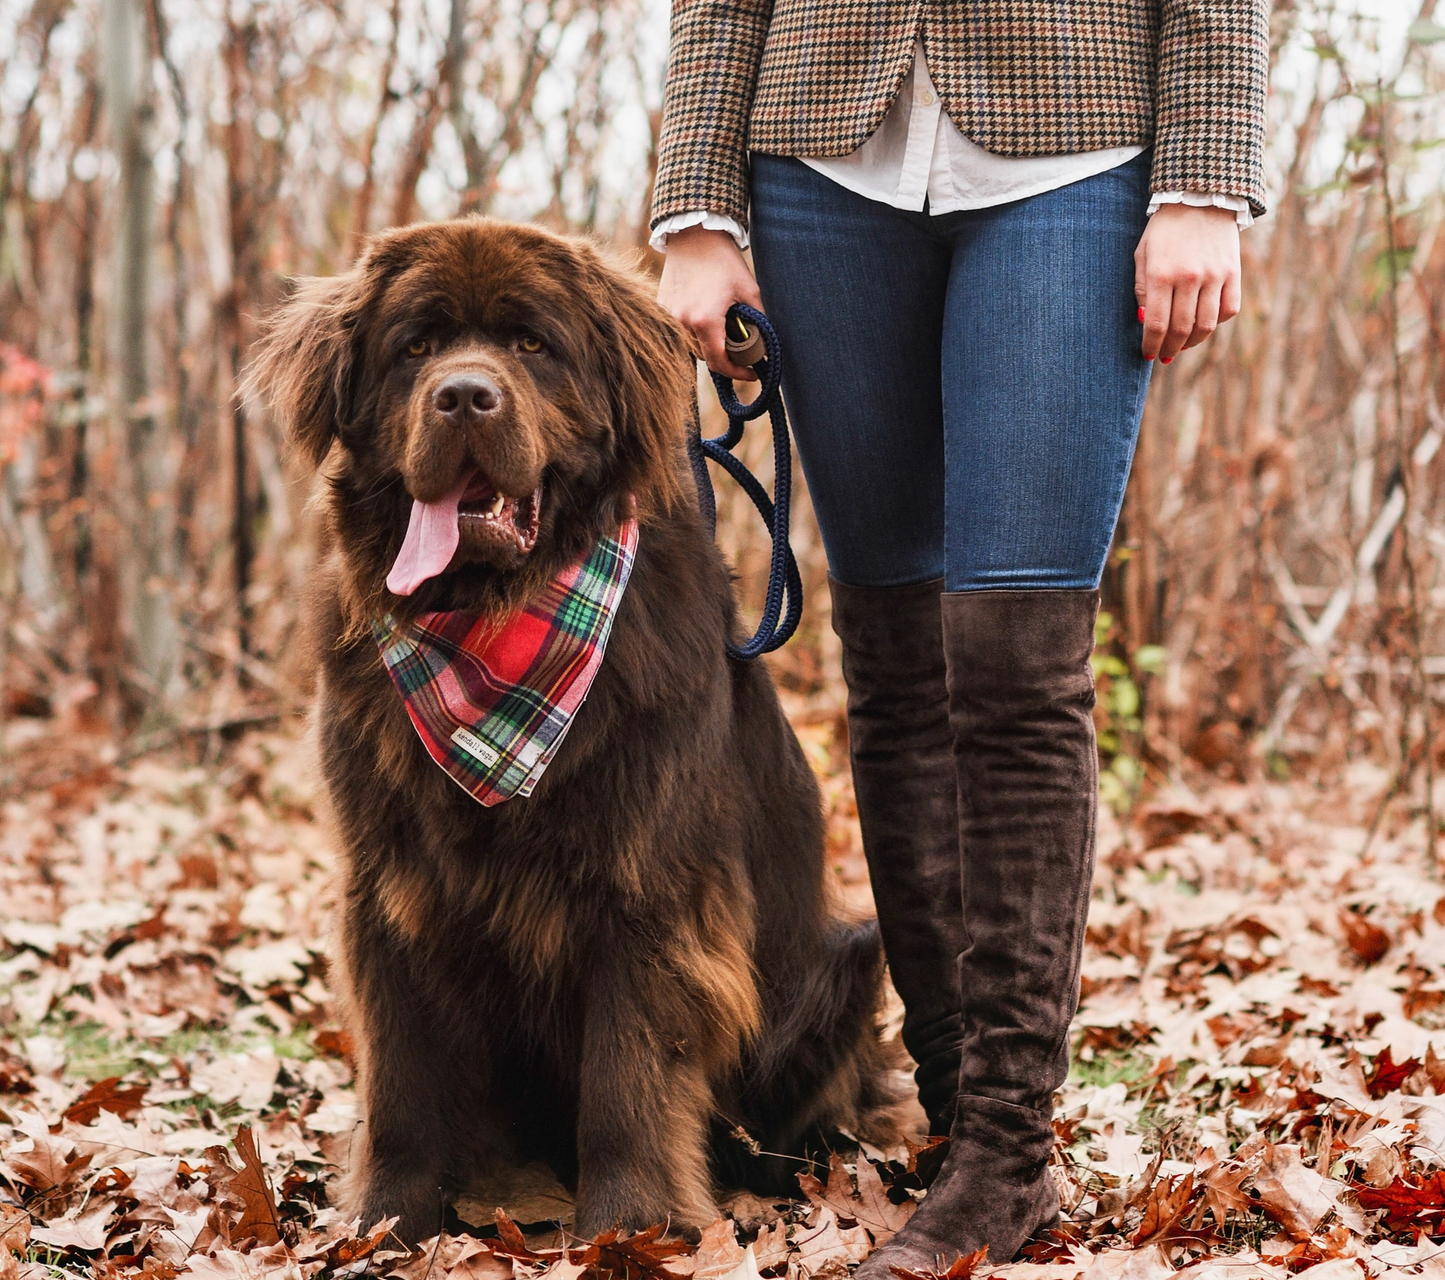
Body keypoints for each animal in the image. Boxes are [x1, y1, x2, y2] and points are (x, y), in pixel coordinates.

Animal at [249, 218, 901, 1242]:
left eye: (530, 345)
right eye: (415, 348)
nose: (464, 396)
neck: (491, 624)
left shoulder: (645, 884)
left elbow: (627, 1074)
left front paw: (629, 1227)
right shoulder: (386, 883)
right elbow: (401, 1076)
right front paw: (388, 1220)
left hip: (846, 960)